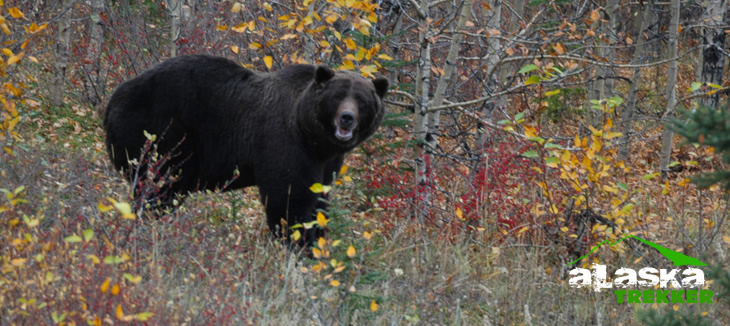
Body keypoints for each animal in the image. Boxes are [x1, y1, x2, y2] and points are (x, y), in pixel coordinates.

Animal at [104, 54, 386, 244]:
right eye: (337, 96)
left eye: (362, 100)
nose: (347, 118)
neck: (312, 136)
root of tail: (113, 99)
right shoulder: (284, 143)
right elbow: (290, 198)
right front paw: (297, 242)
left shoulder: (329, 161)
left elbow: (320, 198)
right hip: (158, 134)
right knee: (157, 187)